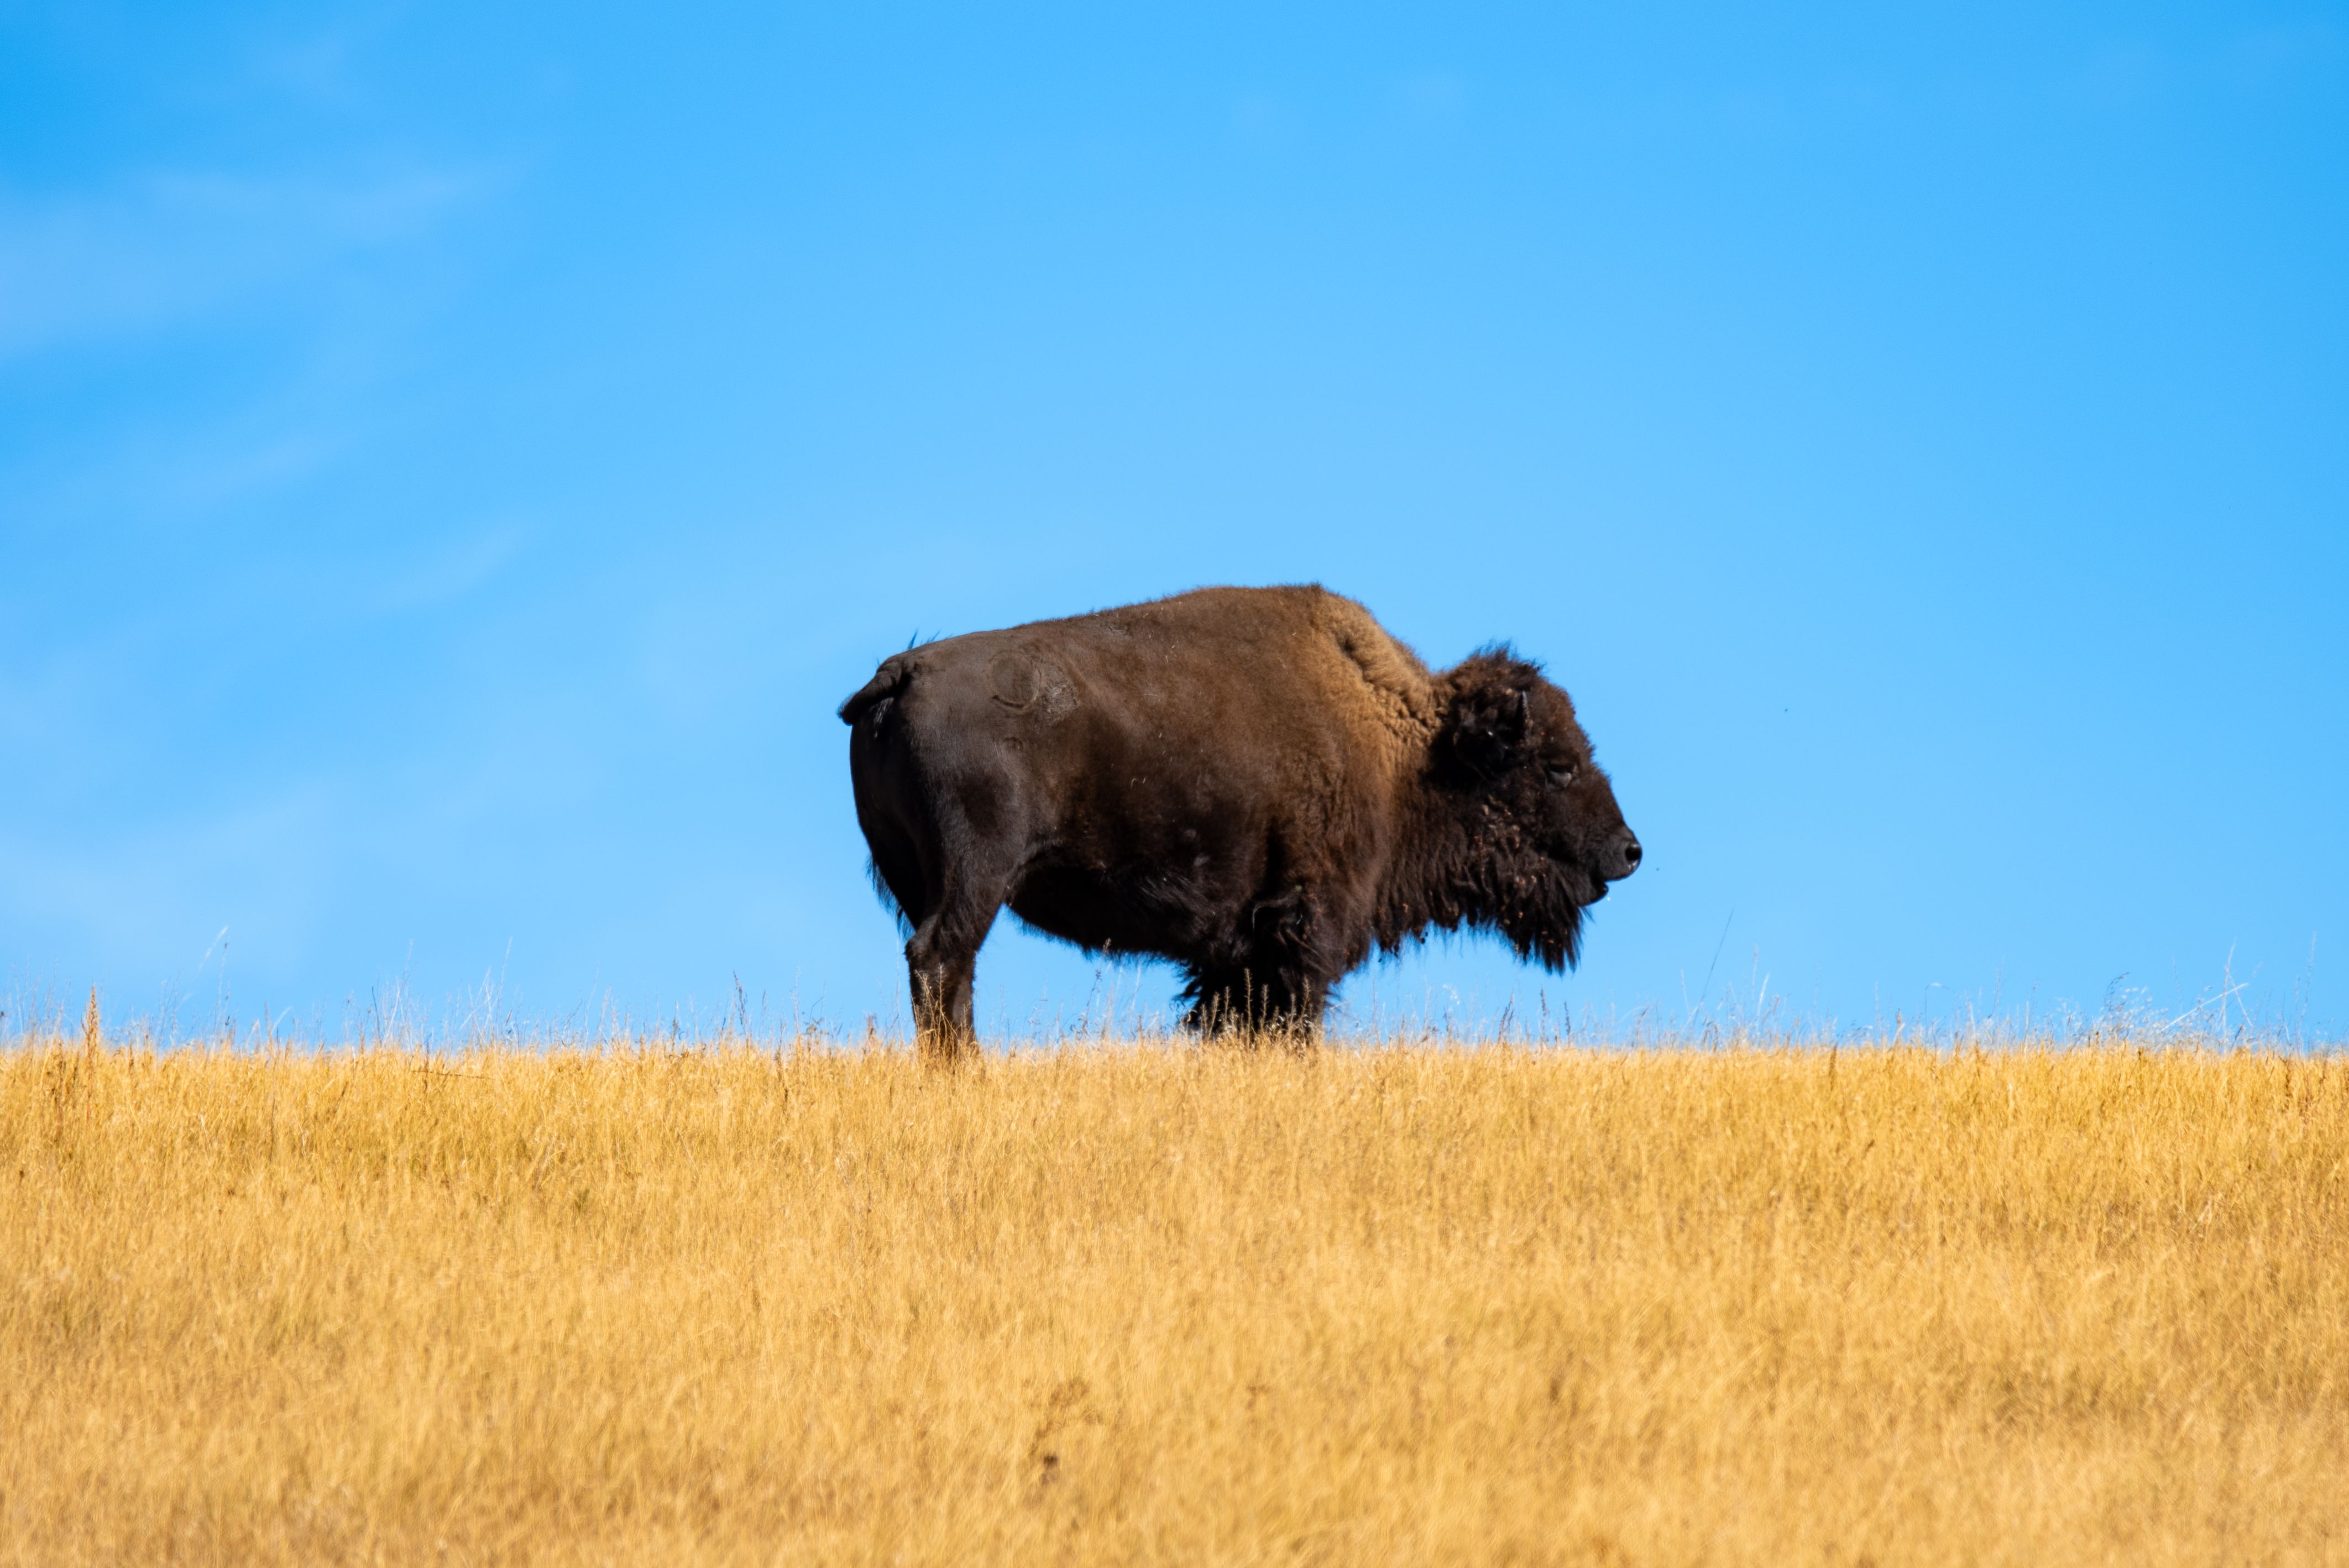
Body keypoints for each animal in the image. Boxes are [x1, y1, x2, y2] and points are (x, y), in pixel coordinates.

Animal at [839, 585, 1639, 1060]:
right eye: (1556, 766)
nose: (1628, 851)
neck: (1405, 748)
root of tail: (900, 674)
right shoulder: (1302, 929)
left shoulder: (1232, 953)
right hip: (977, 876)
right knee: (943, 958)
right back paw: (968, 1071)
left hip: (910, 875)